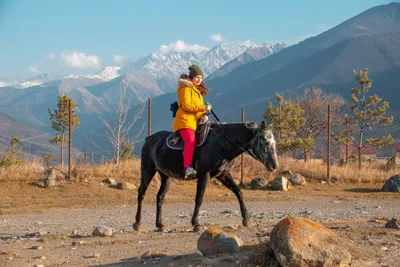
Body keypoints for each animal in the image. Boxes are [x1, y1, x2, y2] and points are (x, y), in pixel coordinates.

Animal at [133, 120, 276, 233]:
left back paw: (160, 225)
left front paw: (246, 220)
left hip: (166, 176)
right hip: (148, 170)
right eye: (265, 141)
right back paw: (137, 224)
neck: (223, 143)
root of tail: (148, 139)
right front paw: (196, 223)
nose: (274, 165)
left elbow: (239, 192)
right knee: (141, 194)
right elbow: (199, 198)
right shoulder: (204, 174)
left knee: (160, 196)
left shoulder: (223, 175)